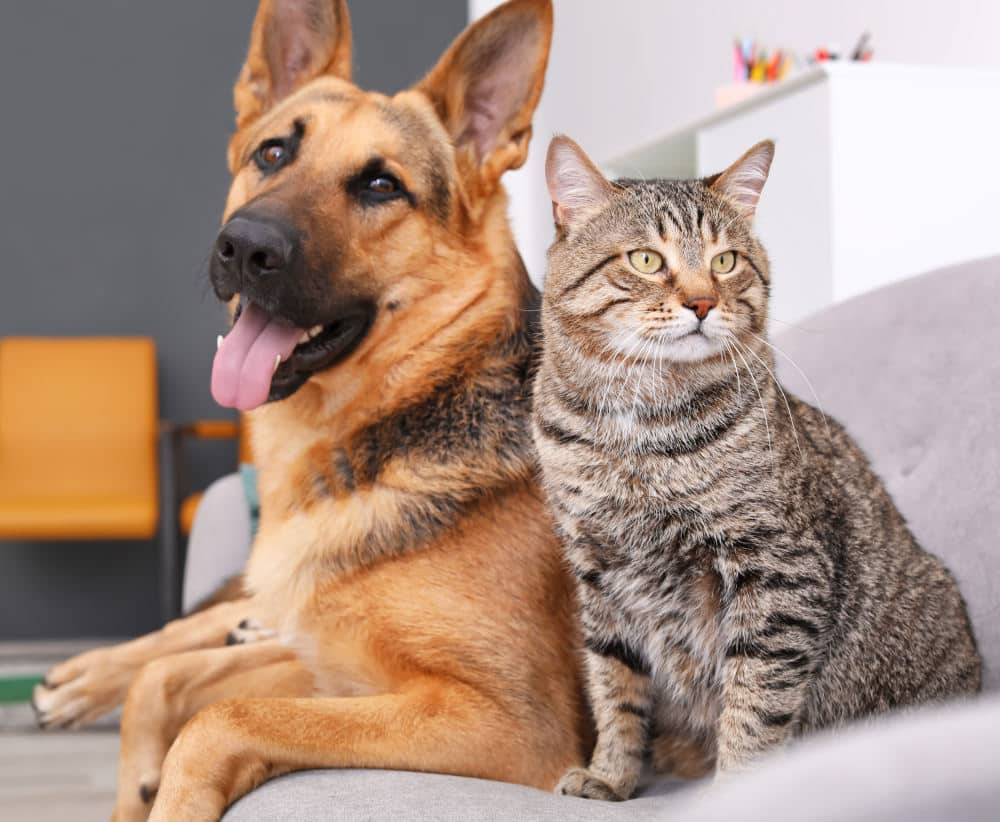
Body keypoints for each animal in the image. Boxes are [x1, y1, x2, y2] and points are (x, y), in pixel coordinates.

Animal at [35, 3, 588, 820]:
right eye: (272, 153)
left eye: (382, 184)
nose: (243, 247)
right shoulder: (333, 664)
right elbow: (177, 686)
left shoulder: (510, 722)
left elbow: (218, 717)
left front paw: (166, 786)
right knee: (192, 634)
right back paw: (82, 679)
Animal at [536, 138, 980, 800]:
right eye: (645, 259)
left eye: (725, 261)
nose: (702, 301)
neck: (637, 431)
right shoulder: (598, 576)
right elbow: (614, 688)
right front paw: (610, 775)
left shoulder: (778, 574)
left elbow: (753, 705)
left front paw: (737, 791)